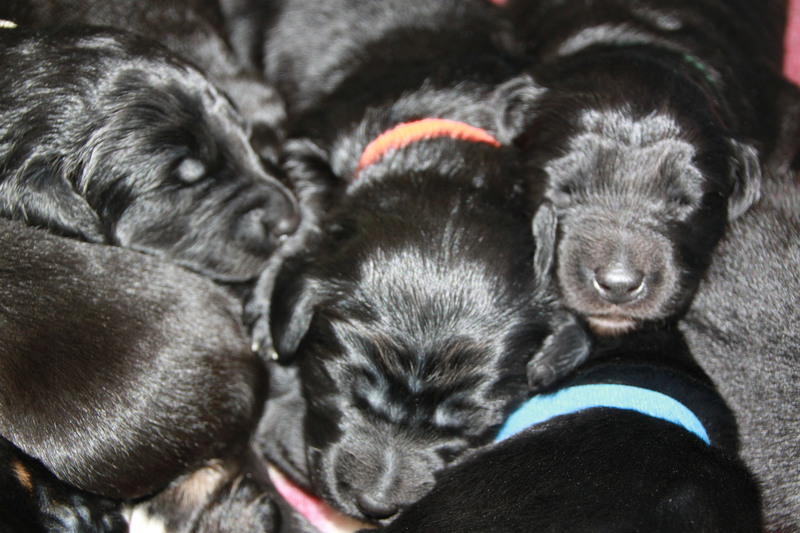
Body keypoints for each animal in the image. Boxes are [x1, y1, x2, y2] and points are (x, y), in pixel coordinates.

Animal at [241, 0, 594, 524]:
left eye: (472, 424)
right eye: (346, 388)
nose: (375, 506)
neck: (447, 161)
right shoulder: (308, 143)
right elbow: (309, 204)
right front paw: (270, 299)